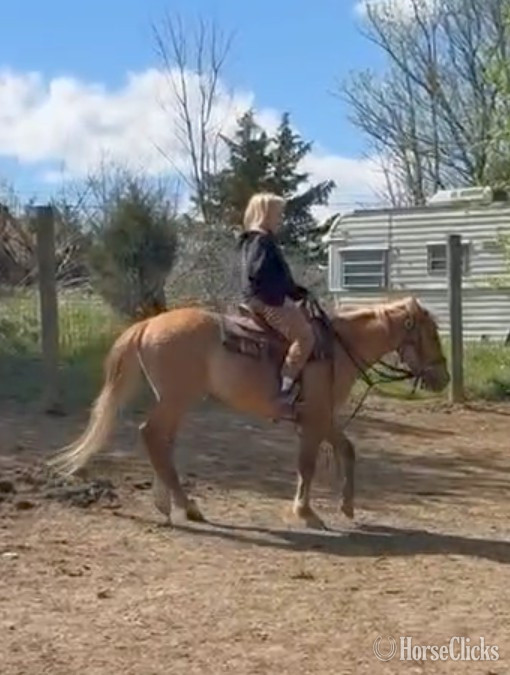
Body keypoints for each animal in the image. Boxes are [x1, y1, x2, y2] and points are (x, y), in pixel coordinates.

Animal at [48, 296, 449, 530]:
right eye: (432, 333)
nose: (442, 378)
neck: (336, 347)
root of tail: (148, 324)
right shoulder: (315, 417)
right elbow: (307, 465)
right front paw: (306, 513)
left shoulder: (322, 417)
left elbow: (347, 450)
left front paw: (347, 507)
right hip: (178, 398)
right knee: (152, 435)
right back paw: (186, 507)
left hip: (174, 400)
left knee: (161, 441)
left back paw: (170, 504)